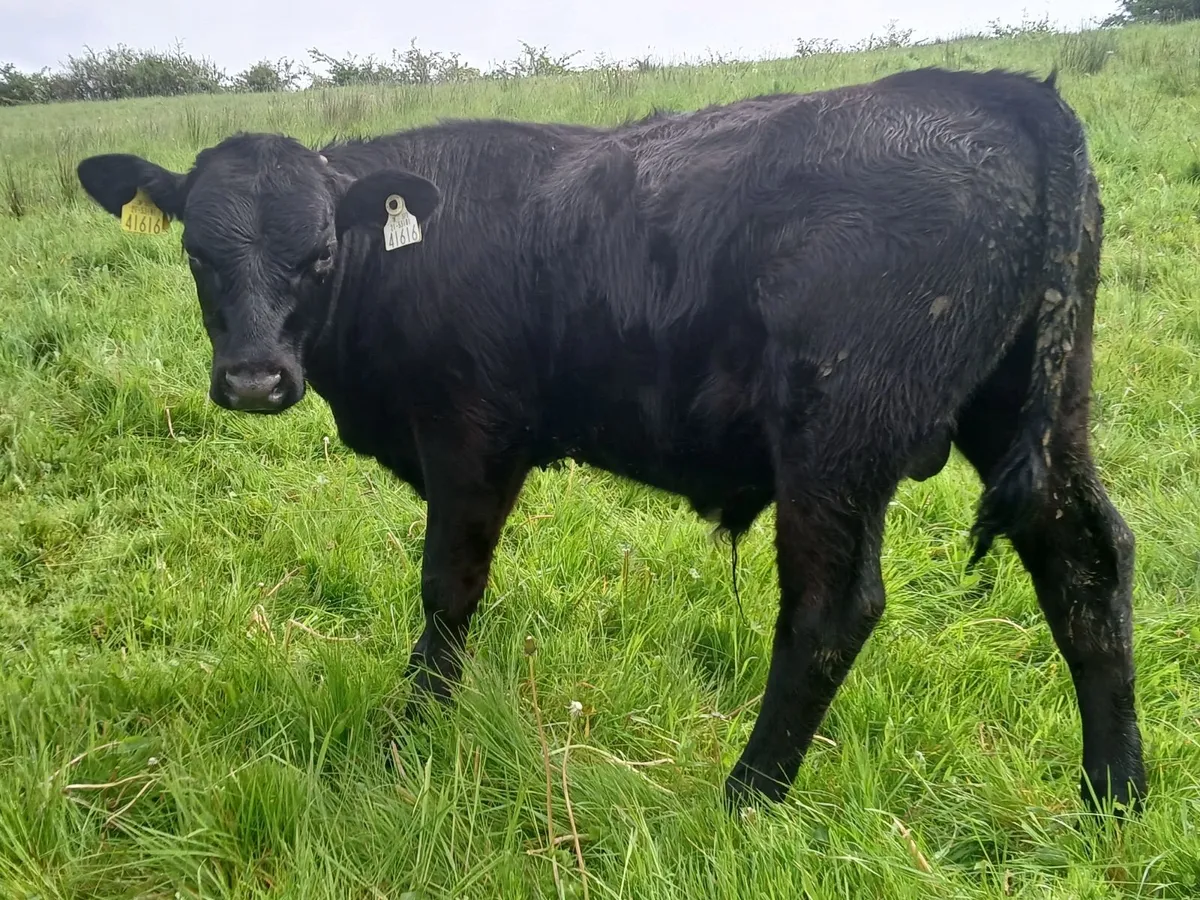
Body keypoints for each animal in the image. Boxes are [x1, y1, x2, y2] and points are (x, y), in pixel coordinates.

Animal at [76, 65, 1146, 816]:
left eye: (321, 254)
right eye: (196, 252)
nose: (256, 379)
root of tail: (989, 88)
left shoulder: (469, 436)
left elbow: (447, 588)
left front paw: (410, 731)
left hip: (838, 439)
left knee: (830, 611)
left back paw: (745, 800)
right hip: (1035, 409)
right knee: (1085, 560)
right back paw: (1115, 796)